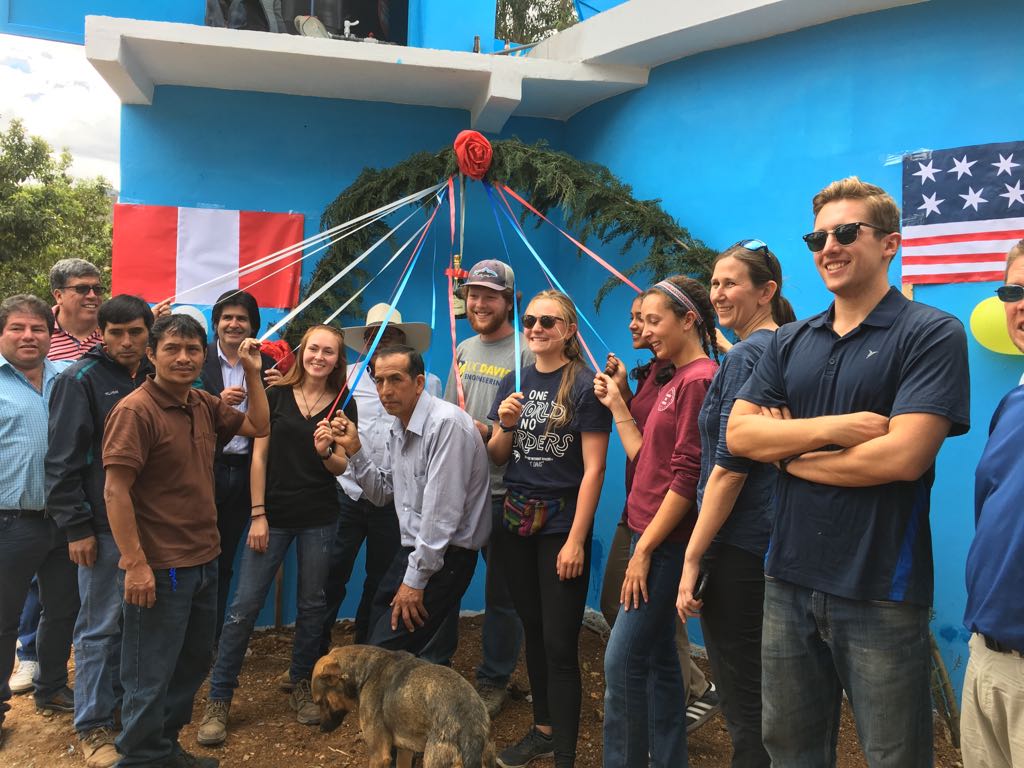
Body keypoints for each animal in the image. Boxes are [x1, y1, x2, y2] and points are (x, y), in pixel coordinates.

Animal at [313, 647, 497, 765]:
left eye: (322, 702)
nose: (321, 729)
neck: (367, 670)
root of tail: (470, 728)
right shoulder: (405, 750)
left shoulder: (379, 755)